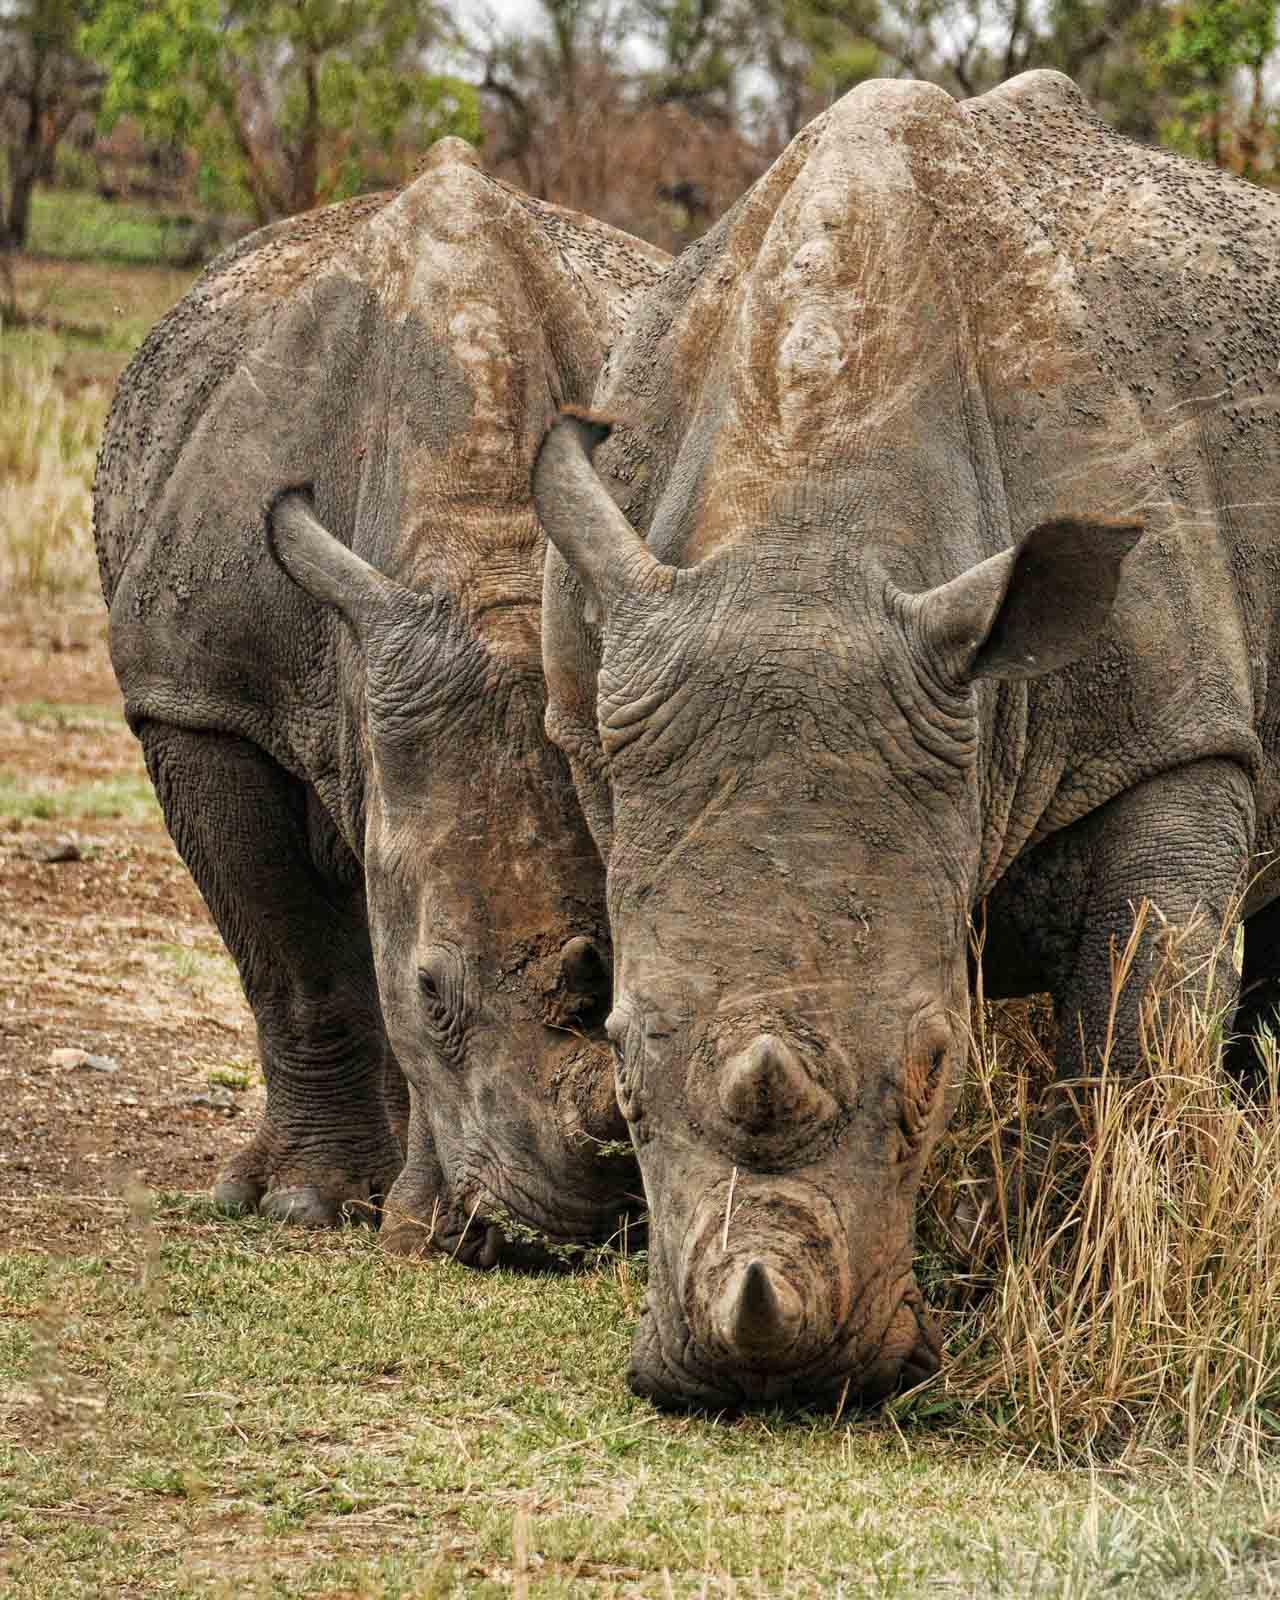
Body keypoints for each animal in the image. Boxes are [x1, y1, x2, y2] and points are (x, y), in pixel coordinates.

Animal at [534, 68, 1280, 1408]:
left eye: (937, 1064)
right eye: (615, 1061)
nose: (770, 1378)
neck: (807, 537)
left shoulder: (1173, 732)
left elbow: (1136, 1025)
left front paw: (1103, 1295)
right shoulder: (603, 727)